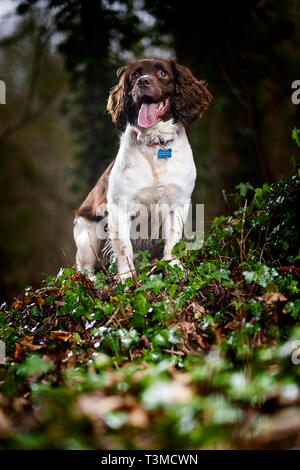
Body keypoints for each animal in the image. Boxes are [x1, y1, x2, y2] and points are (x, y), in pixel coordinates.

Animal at [74, 57, 212, 280]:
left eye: (163, 73)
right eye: (135, 75)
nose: (143, 82)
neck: (156, 143)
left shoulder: (178, 204)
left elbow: (172, 243)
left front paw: (173, 266)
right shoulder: (119, 207)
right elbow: (124, 249)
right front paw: (126, 278)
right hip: (87, 233)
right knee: (84, 268)